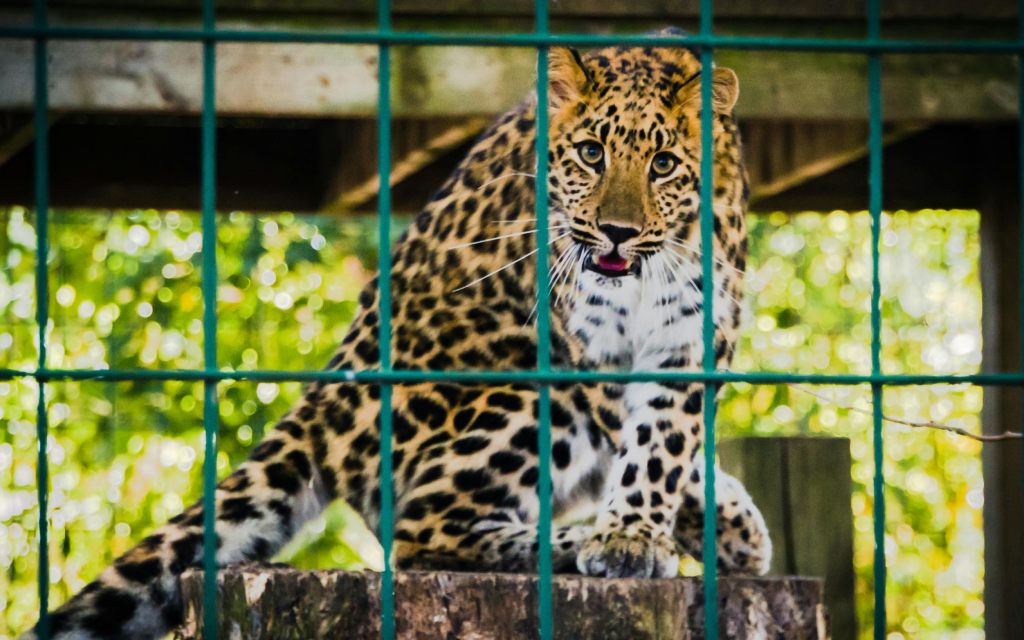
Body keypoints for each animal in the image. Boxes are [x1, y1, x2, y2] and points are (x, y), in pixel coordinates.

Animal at [25, 29, 772, 640]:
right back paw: (569, 544)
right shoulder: (588, 351)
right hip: (525, 393)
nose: (616, 232)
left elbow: (669, 439)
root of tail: (327, 396)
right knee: (418, 528)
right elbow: (652, 443)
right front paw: (632, 540)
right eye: (592, 154)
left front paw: (673, 529)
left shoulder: (692, 334)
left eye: (663, 165)